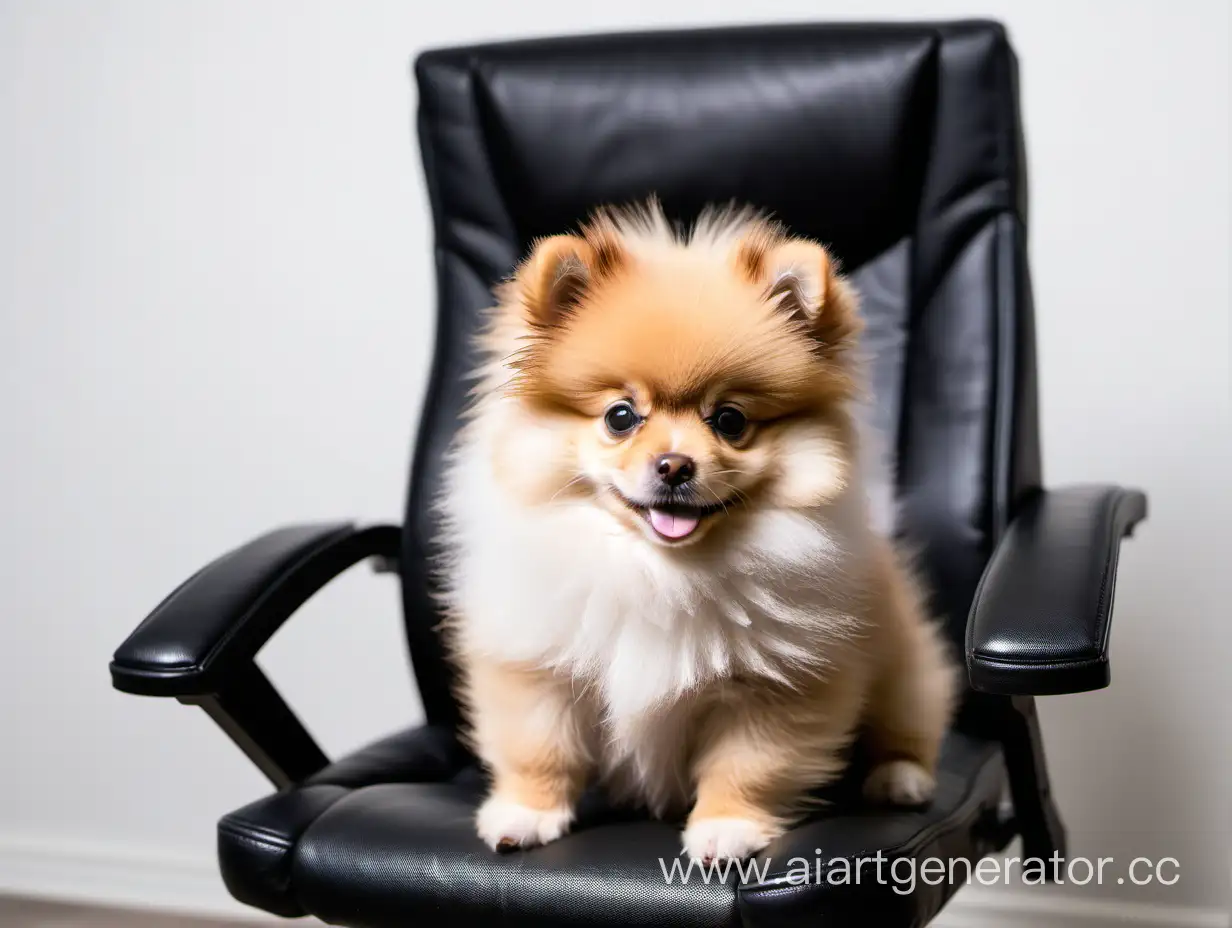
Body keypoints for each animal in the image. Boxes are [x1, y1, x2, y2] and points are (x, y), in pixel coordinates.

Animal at [438, 202, 956, 862]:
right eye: (621, 417)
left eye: (729, 421)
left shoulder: (776, 686)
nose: (675, 466)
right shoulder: (538, 665)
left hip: (902, 666)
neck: (659, 571)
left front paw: (727, 828)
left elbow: (747, 765)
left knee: (908, 723)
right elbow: (539, 746)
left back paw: (899, 779)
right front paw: (527, 813)